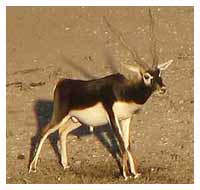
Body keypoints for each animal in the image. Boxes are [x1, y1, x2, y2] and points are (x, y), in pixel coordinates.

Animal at [28, 10, 173, 180]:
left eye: (159, 73)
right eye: (146, 76)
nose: (163, 88)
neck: (125, 92)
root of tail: (62, 82)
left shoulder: (126, 119)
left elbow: (128, 144)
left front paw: (135, 173)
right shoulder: (112, 118)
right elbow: (121, 143)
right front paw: (125, 175)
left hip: (75, 120)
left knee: (61, 132)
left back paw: (65, 165)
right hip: (60, 116)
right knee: (43, 132)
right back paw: (32, 168)